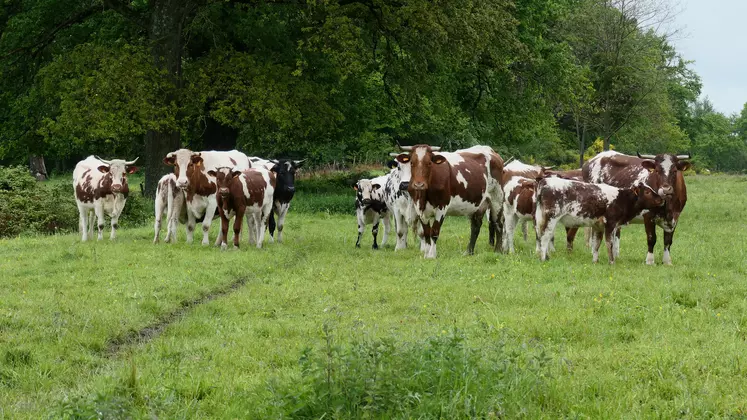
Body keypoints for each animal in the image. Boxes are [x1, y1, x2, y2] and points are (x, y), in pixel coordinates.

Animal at [536, 176, 664, 262]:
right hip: (551, 218)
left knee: (542, 236)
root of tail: (544, 181)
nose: (661, 199)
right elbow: (609, 243)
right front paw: (612, 262)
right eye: (647, 191)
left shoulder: (598, 226)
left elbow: (596, 243)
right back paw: (543, 258)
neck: (621, 199)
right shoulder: (610, 224)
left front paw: (595, 261)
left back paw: (546, 257)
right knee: (545, 236)